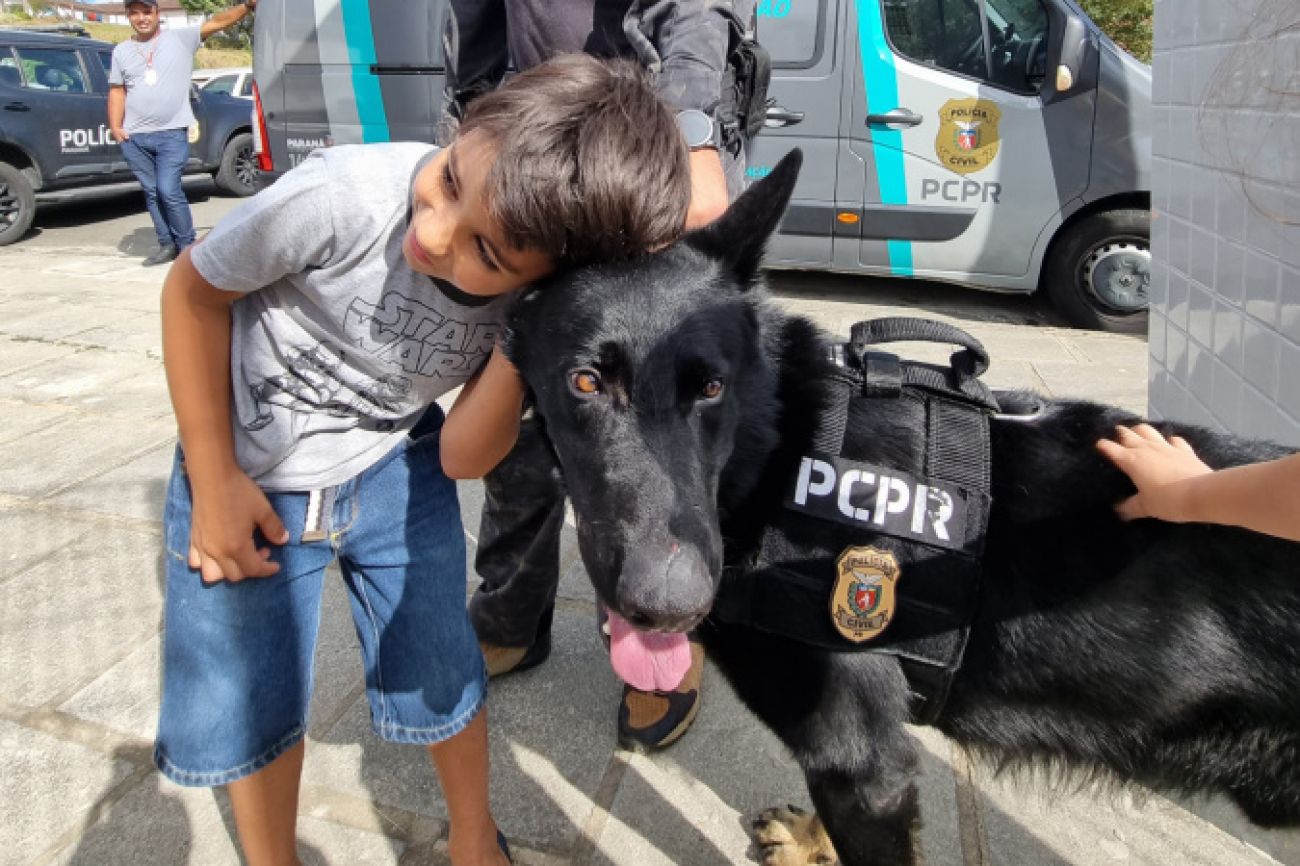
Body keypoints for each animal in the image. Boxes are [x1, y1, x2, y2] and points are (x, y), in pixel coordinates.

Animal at [504, 151, 1300, 858]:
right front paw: (812, 840)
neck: (777, 447)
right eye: (583, 383)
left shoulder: (862, 764)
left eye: (711, 388)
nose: (667, 606)